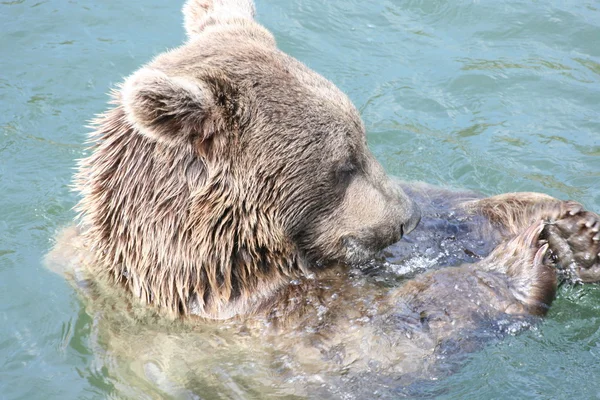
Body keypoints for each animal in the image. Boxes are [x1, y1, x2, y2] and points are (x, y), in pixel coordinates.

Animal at [45, 0, 600, 394]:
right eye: (344, 162)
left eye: (363, 141)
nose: (406, 218)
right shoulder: (249, 334)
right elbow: (377, 344)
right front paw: (516, 264)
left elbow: (451, 219)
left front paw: (572, 230)